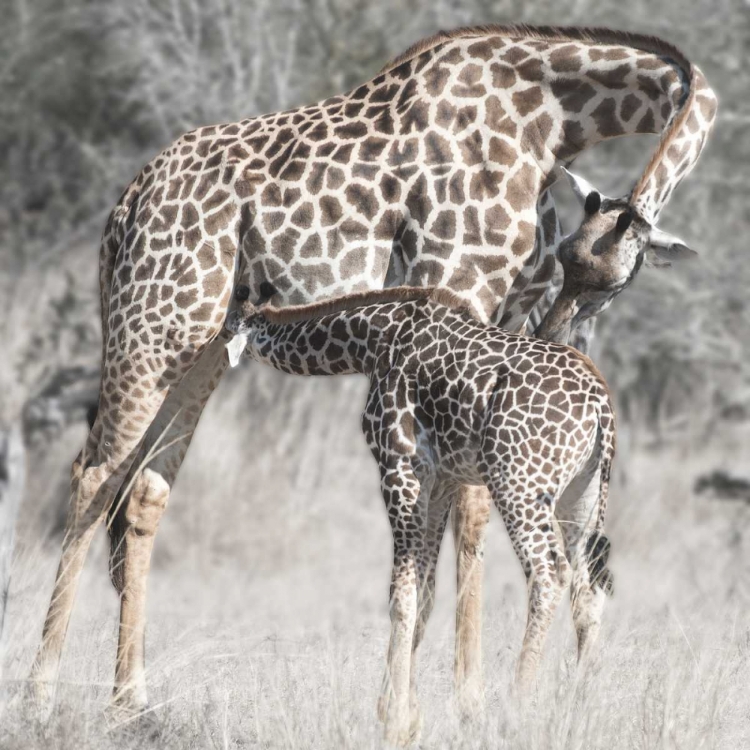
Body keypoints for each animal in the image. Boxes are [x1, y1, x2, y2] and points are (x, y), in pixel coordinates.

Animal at [228, 284, 616, 748]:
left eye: (231, 322)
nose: (215, 340)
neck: (374, 341)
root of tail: (599, 404)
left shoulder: (400, 466)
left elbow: (402, 593)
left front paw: (393, 722)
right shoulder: (443, 479)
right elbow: (427, 592)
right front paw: (407, 717)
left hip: (518, 483)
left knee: (549, 573)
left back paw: (515, 713)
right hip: (582, 493)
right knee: (589, 588)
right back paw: (579, 712)